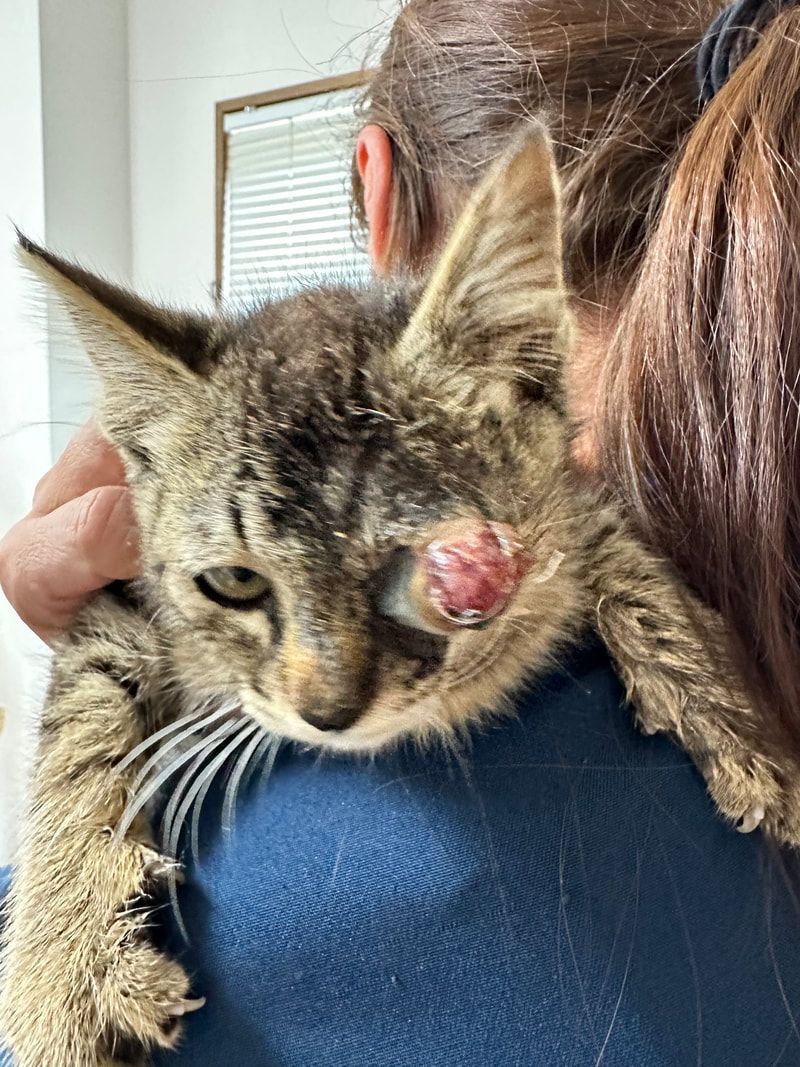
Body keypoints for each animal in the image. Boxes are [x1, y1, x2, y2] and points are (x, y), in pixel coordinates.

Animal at [0, 126, 797, 1067]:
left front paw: (734, 716)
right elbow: (79, 723)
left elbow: (609, 538)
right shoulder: (112, 586)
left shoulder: (571, 490)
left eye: (432, 569)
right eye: (234, 580)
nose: (327, 709)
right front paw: (61, 971)